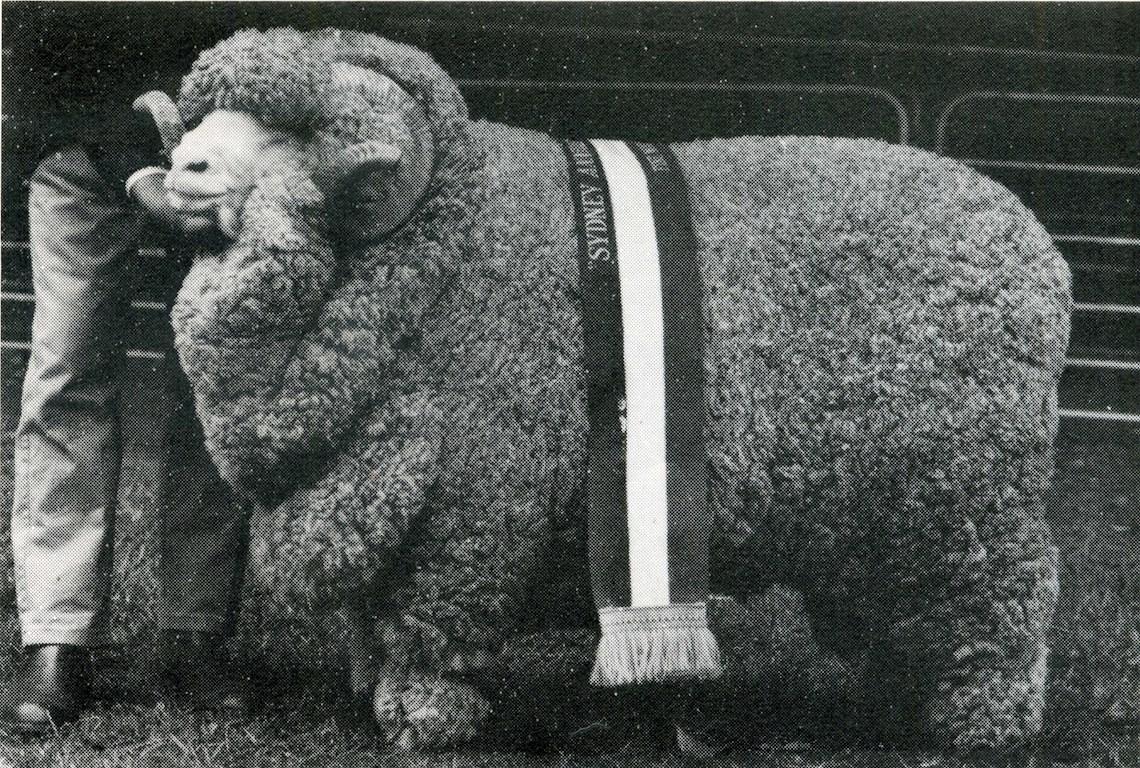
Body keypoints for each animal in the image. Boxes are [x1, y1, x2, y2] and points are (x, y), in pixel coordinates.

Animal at [137, 28, 1071, 747]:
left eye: (297, 135)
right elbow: (376, 623)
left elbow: (433, 629)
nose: (185, 169)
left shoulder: (468, 509)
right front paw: (376, 696)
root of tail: (1033, 243)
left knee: (1012, 604)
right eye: (207, 120)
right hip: (896, 516)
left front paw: (426, 721)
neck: (444, 258)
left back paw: (987, 725)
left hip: (974, 498)